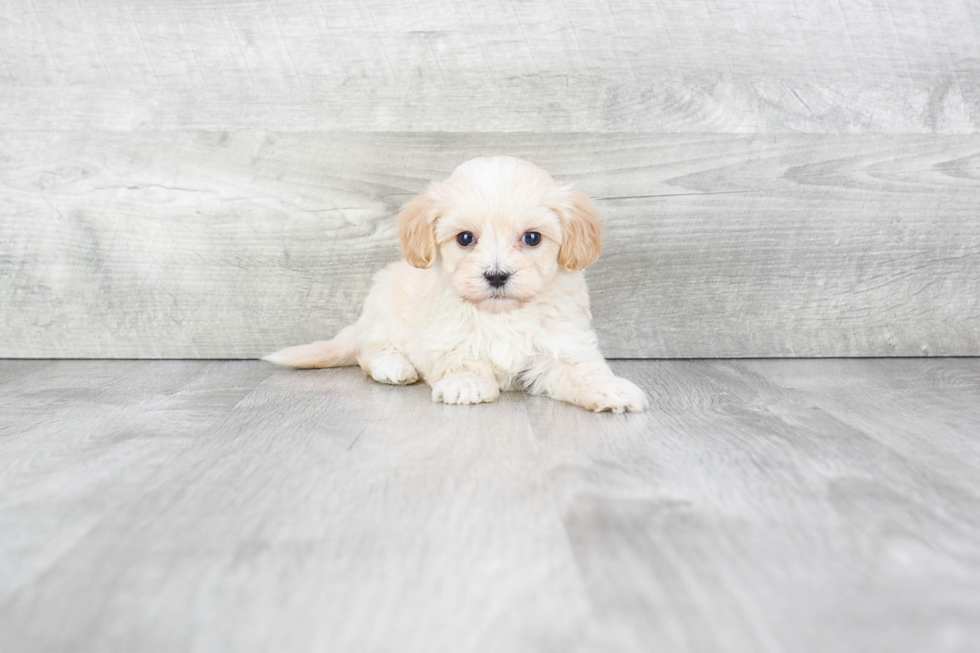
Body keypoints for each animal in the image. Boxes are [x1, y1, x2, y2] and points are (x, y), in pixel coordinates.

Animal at [266, 156, 652, 412]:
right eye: (465, 238)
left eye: (532, 238)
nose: (496, 275)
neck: (502, 315)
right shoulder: (446, 336)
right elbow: (462, 359)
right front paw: (467, 385)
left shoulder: (561, 344)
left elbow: (582, 370)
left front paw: (609, 390)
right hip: (383, 311)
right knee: (371, 350)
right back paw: (394, 367)